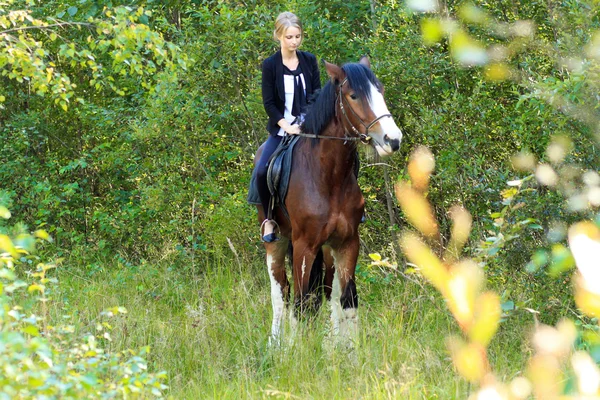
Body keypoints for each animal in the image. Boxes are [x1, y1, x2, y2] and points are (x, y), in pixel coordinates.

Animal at [254, 55, 404, 344]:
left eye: (380, 91)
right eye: (354, 95)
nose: (393, 140)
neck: (329, 177)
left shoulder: (347, 243)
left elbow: (347, 300)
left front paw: (348, 349)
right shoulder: (304, 246)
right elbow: (300, 302)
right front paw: (297, 350)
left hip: (327, 251)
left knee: (327, 293)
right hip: (277, 242)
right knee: (281, 293)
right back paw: (276, 344)